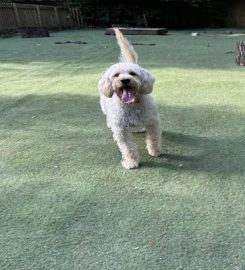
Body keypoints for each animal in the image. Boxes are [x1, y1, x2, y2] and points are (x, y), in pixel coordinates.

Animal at [98, 29, 162, 169]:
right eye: (116, 75)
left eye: (133, 73)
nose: (125, 80)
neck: (131, 105)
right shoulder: (121, 131)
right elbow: (127, 148)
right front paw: (131, 162)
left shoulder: (152, 122)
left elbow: (153, 138)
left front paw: (155, 151)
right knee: (108, 117)